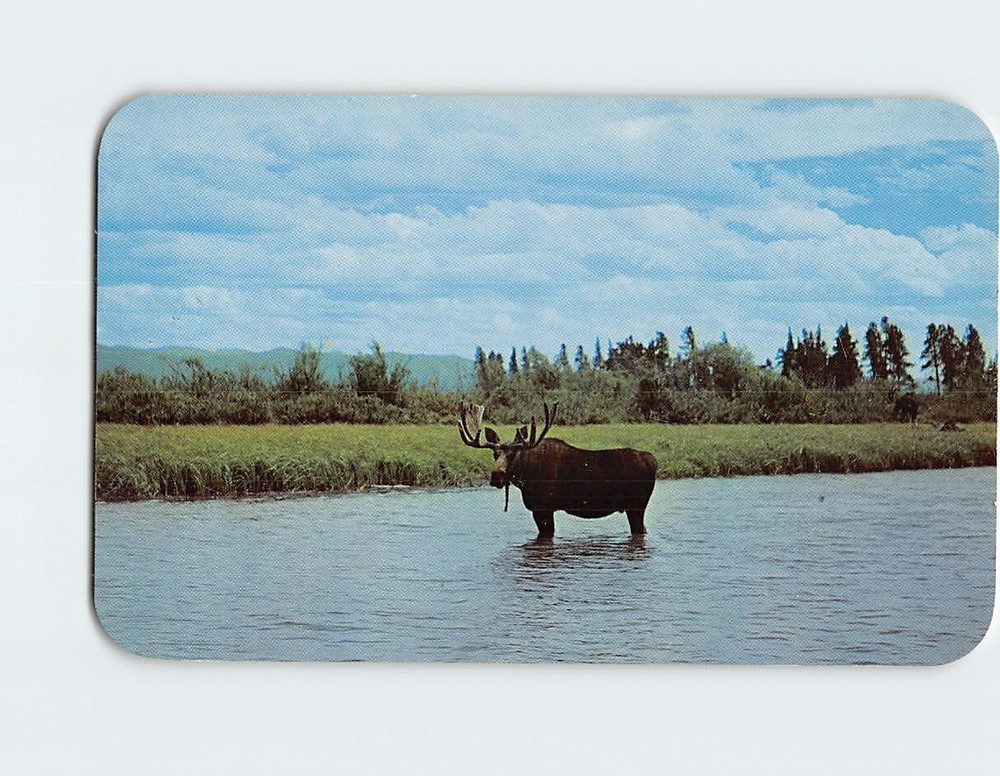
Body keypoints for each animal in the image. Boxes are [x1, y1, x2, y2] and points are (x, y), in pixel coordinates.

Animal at [458, 402, 658, 537]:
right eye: (494, 453)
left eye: (513, 454)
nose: (496, 476)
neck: (525, 478)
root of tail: (654, 461)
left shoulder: (543, 507)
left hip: (636, 504)